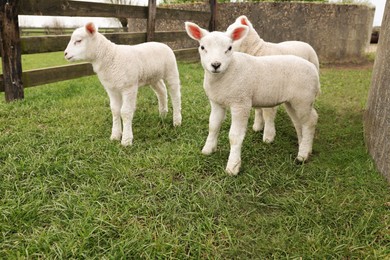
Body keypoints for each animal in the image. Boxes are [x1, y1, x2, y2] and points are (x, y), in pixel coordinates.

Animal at [227, 15, 318, 144]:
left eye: (235, 33)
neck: (257, 51)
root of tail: (305, 42)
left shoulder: (271, 88)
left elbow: (268, 113)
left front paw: (268, 136)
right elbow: (258, 109)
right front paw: (258, 126)